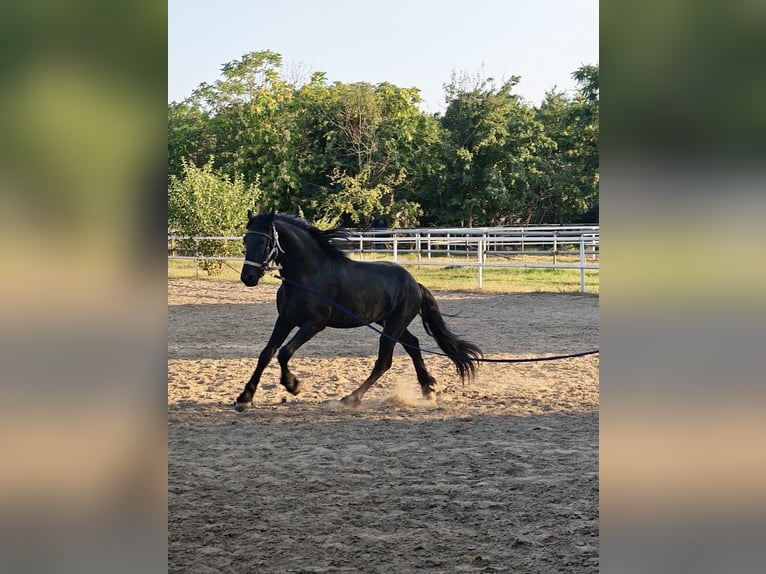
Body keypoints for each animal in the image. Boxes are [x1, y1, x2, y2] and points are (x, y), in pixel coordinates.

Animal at [235, 210, 483, 411]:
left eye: (263, 241)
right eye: (246, 239)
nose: (248, 277)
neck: (307, 276)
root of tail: (415, 284)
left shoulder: (314, 324)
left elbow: (284, 352)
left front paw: (293, 385)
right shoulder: (285, 320)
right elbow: (266, 354)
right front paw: (244, 398)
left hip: (393, 326)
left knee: (384, 362)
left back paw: (351, 399)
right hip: (389, 323)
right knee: (412, 345)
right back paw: (427, 389)